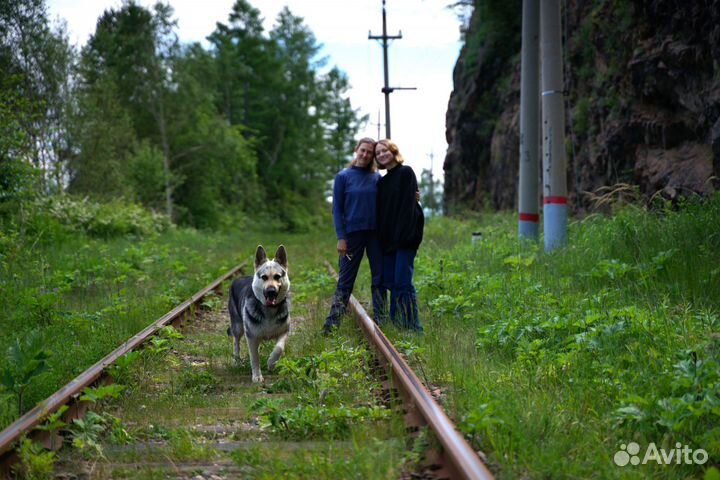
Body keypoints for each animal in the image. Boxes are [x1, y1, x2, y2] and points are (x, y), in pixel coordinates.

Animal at [228, 246, 290, 380]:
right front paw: (257, 376)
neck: (269, 309)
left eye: (277, 276)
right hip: (238, 327)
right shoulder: (251, 337)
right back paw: (237, 361)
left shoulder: (284, 332)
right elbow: (254, 357)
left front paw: (272, 363)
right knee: (236, 342)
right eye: (264, 277)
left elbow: (279, 348)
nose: (271, 291)